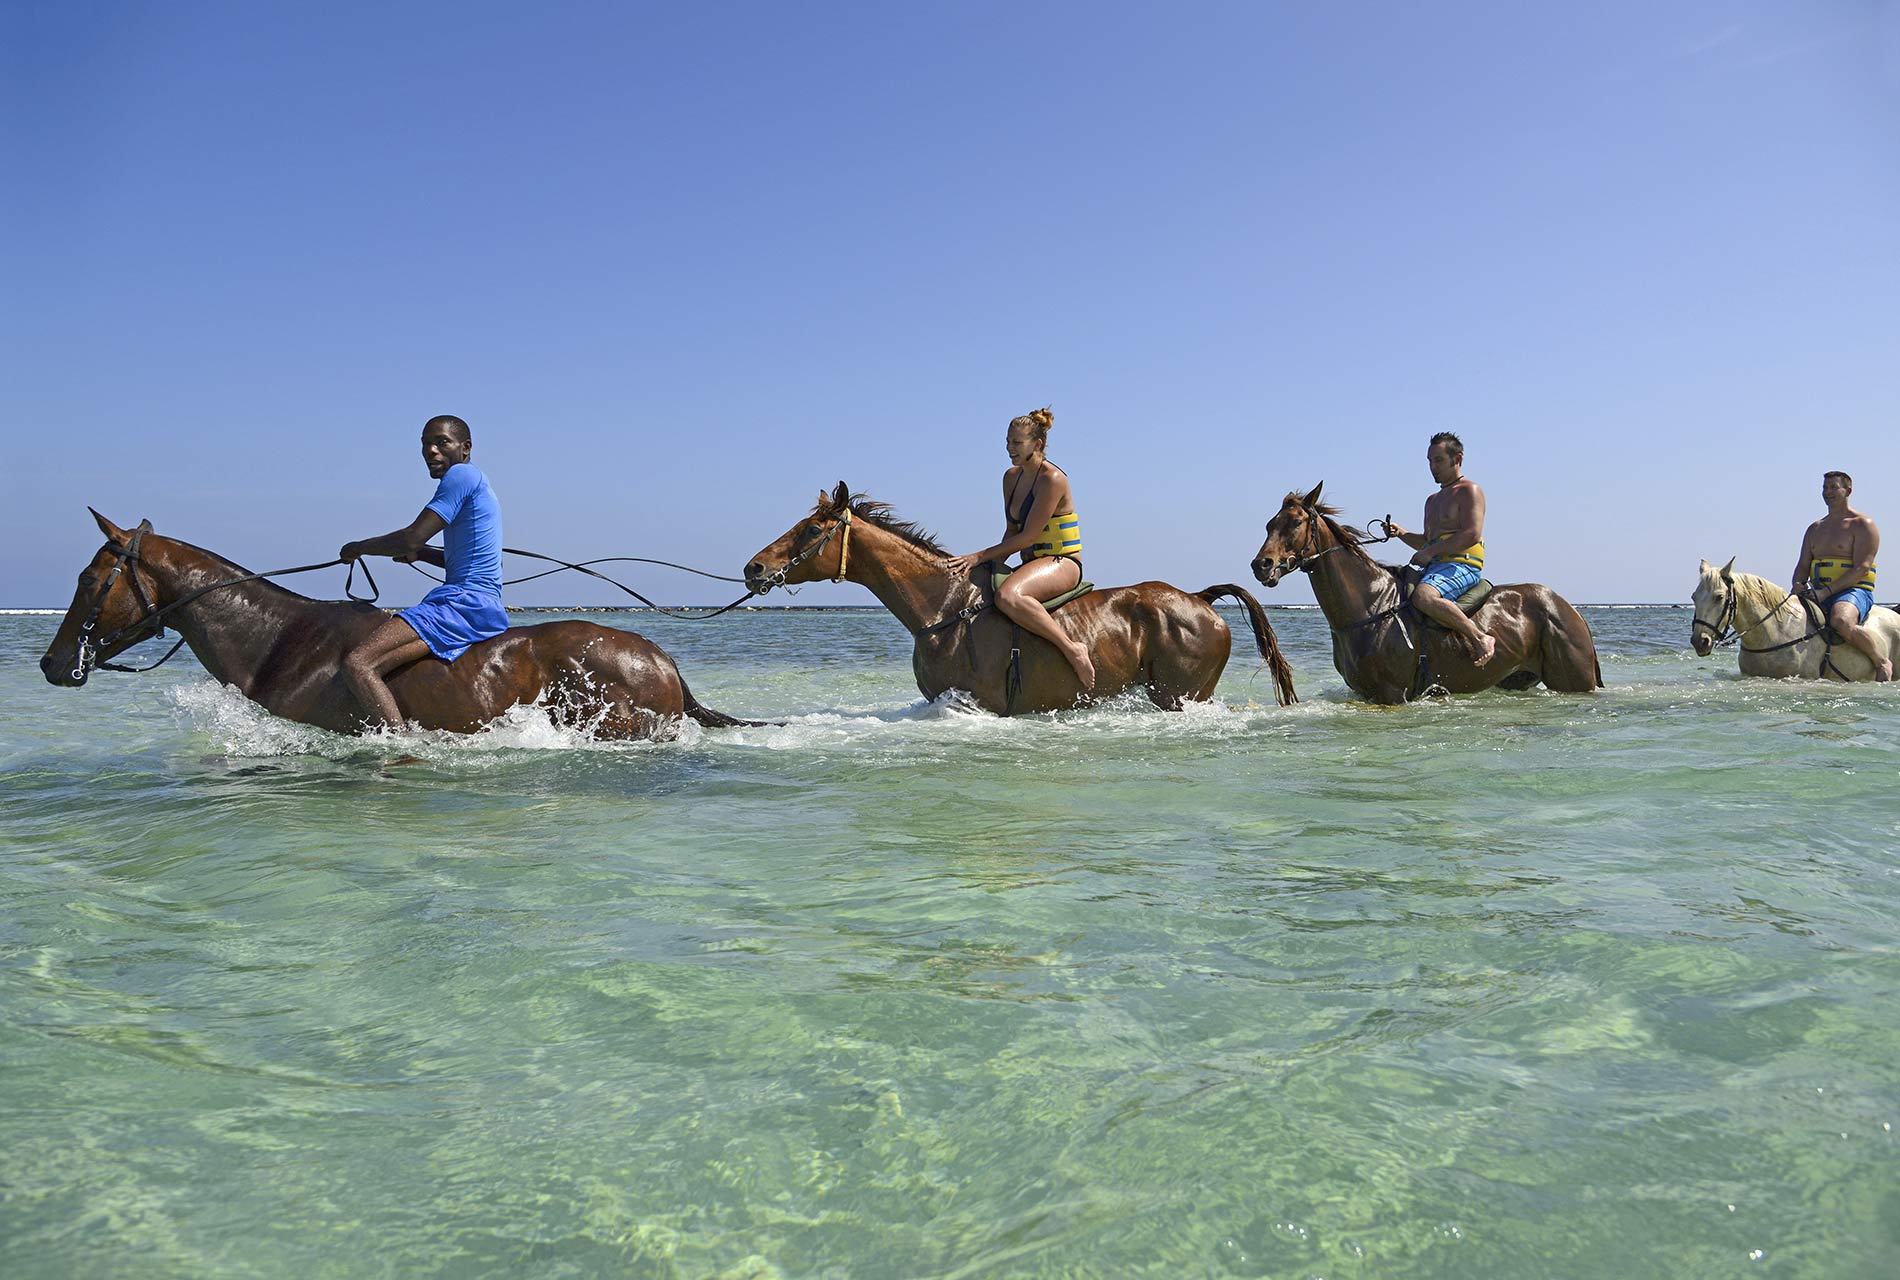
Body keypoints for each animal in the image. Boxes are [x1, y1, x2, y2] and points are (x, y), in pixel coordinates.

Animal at [1246, 484, 1603, 702]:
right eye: (1268, 525)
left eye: (1295, 522)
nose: (1261, 565)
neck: (1368, 606)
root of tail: (1569, 609)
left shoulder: (1391, 694)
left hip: (1573, 681)